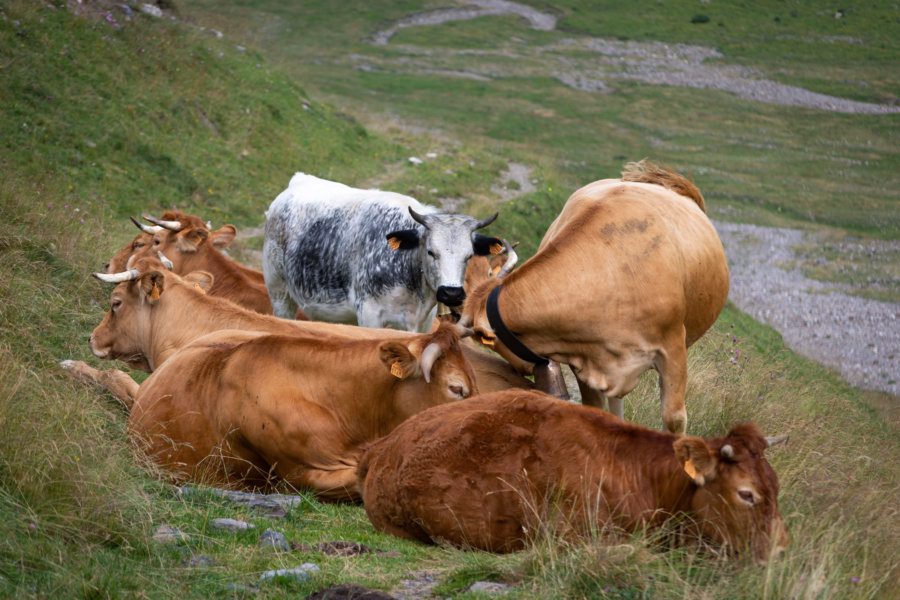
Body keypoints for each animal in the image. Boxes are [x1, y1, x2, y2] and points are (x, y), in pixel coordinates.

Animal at [260, 172, 502, 332]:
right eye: (431, 252)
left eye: (469, 256)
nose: (451, 293)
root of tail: (300, 180)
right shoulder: (370, 315)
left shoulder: (424, 323)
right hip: (279, 292)